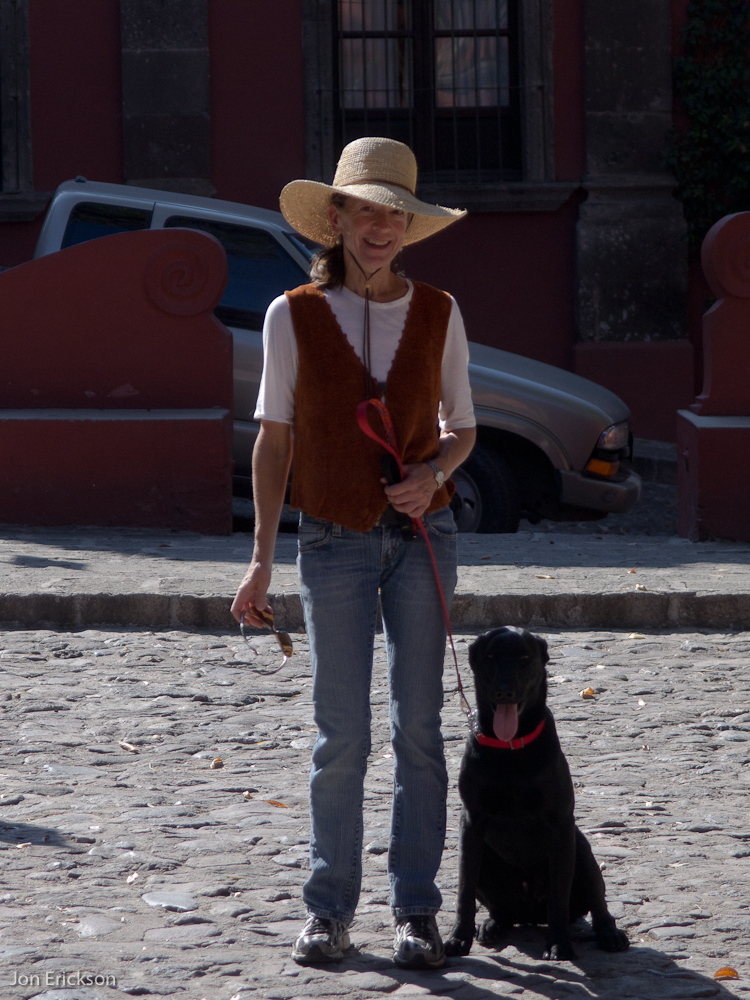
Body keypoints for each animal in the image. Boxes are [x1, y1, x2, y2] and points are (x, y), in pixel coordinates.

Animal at [445, 627, 629, 961]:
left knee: (597, 904)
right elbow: (464, 890)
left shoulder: (560, 824)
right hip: (486, 861)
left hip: (581, 849)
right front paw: (457, 938)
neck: (510, 749)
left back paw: (609, 933)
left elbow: (559, 894)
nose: (504, 692)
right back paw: (491, 926)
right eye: (490, 656)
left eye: (524, 657)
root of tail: (531, 913)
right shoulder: (471, 823)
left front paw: (558, 944)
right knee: (502, 910)